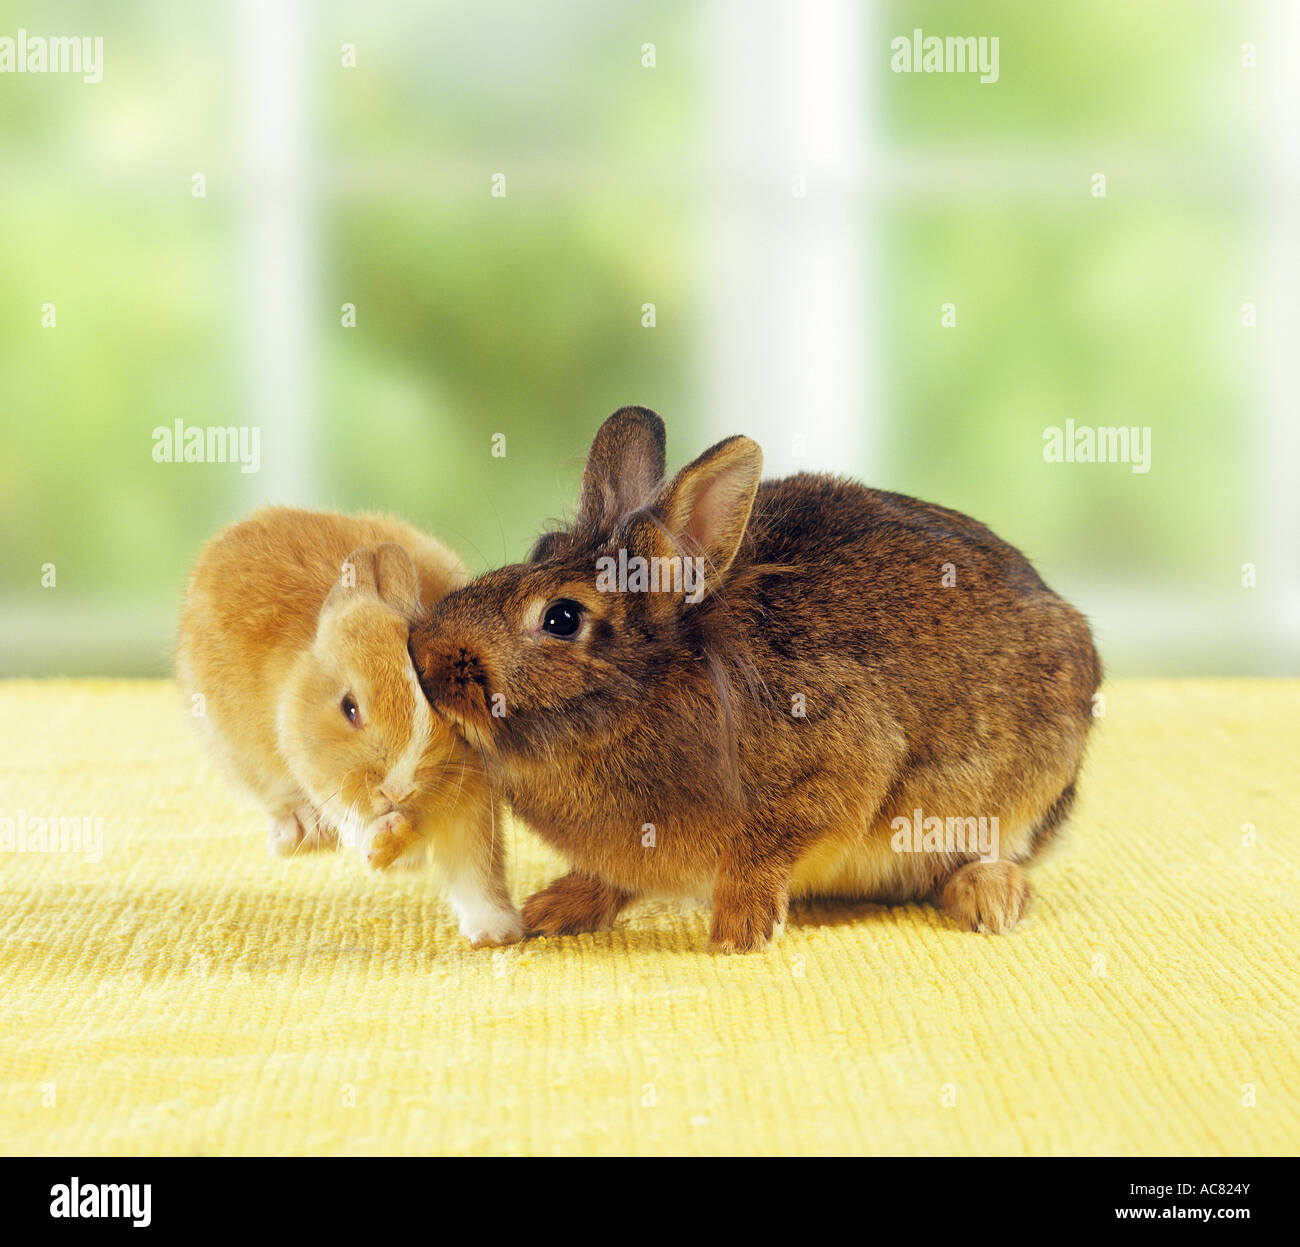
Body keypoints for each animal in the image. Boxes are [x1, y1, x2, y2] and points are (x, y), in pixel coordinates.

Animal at [176, 505, 523, 948]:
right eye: (349, 708)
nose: (397, 789)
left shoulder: (471, 798)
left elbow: (476, 870)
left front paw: (497, 932)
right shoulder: (328, 780)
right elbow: (352, 818)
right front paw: (383, 840)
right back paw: (298, 832)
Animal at [408, 407, 1102, 953]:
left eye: (562, 618)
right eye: (538, 550)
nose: (422, 654)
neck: (649, 688)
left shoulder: (836, 768)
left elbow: (765, 850)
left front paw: (741, 931)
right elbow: (613, 878)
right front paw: (551, 911)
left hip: (1016, 795)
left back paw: (990, 897)